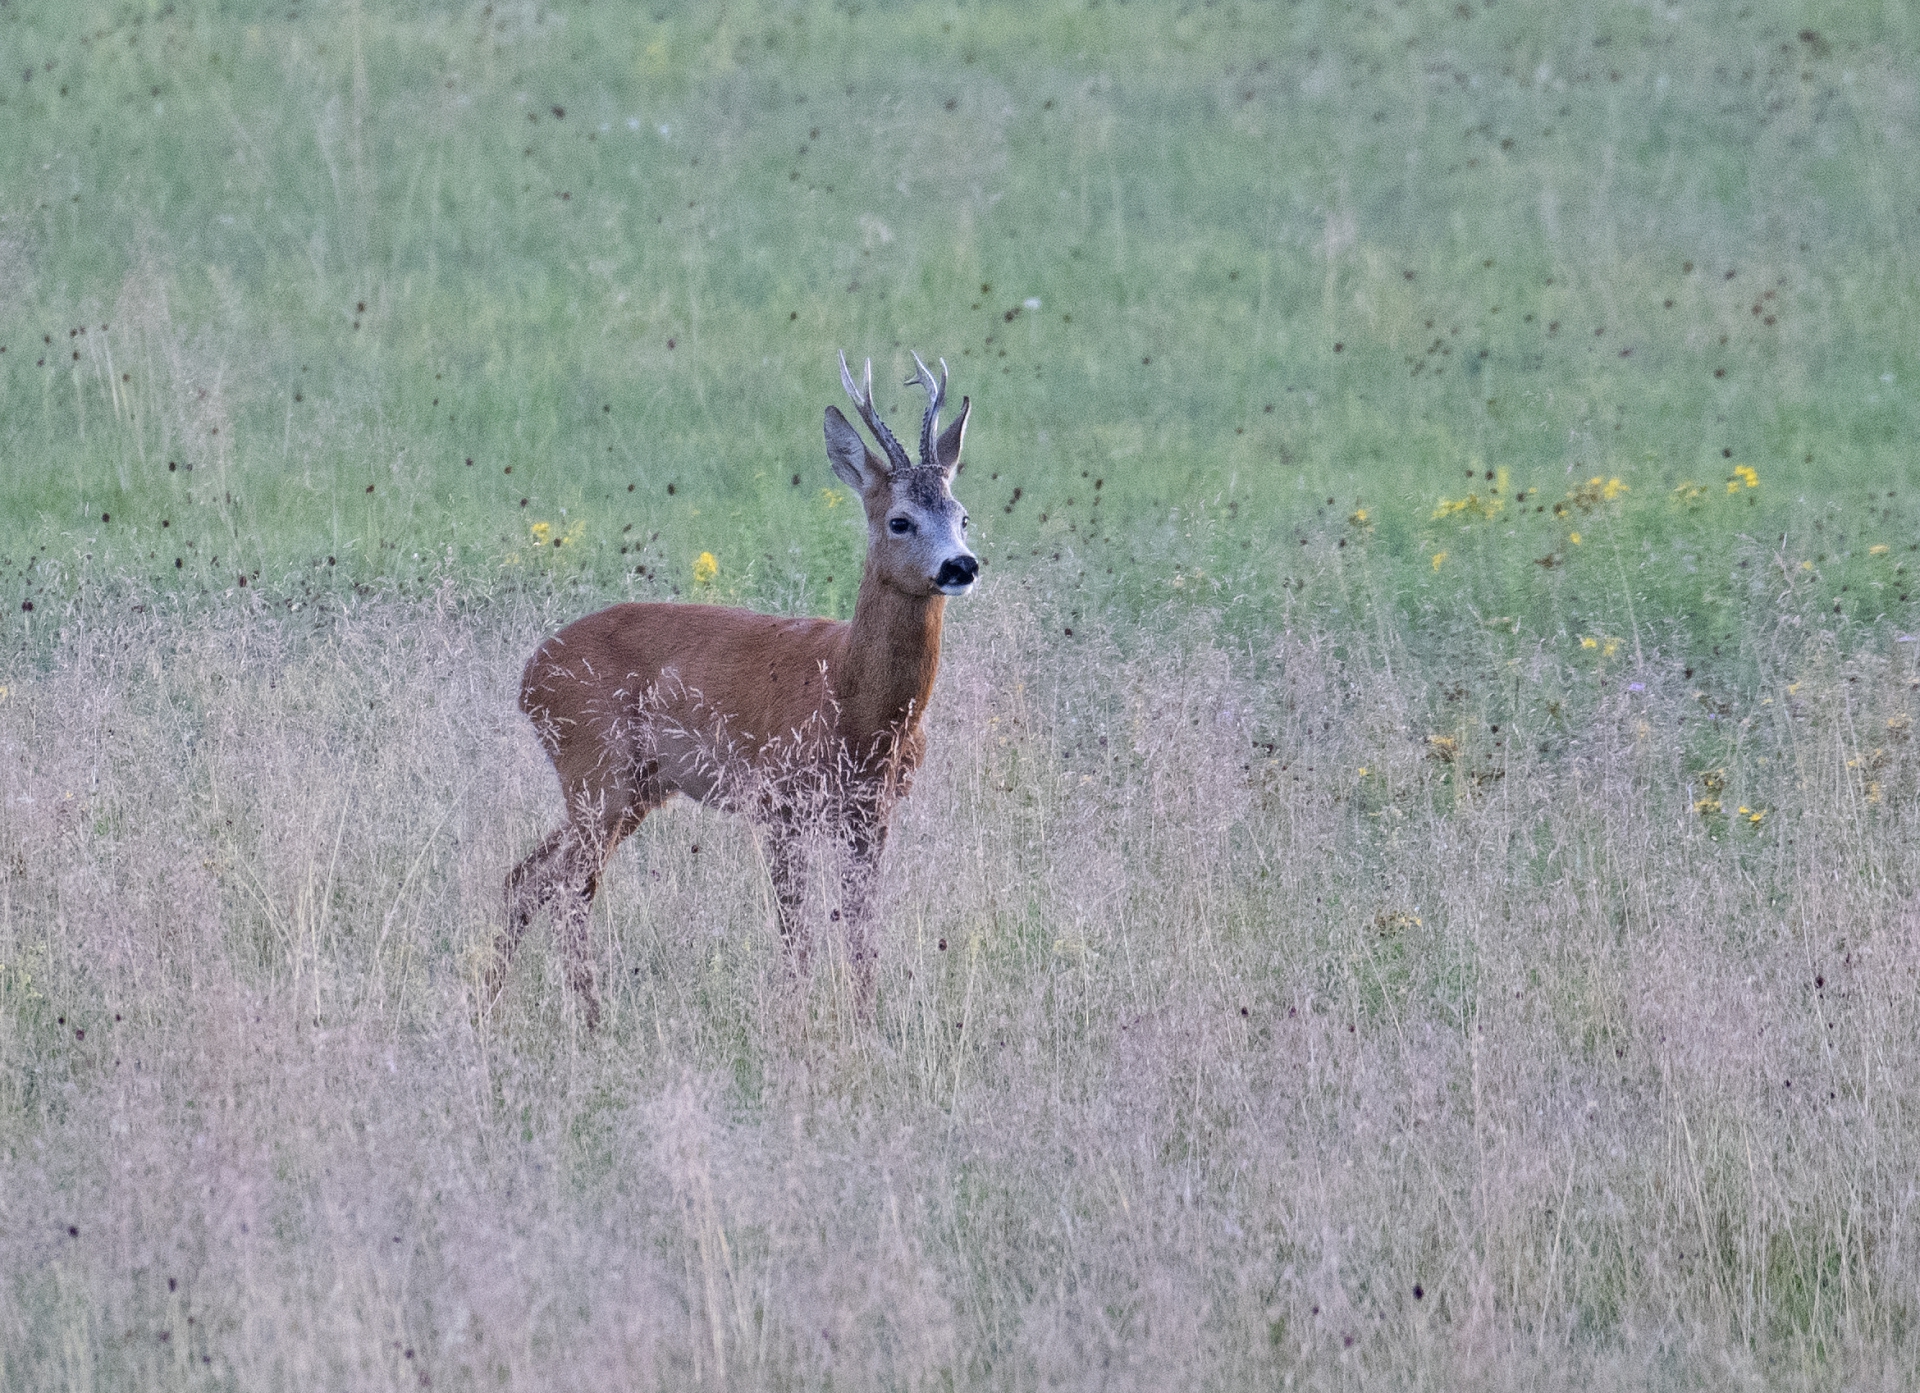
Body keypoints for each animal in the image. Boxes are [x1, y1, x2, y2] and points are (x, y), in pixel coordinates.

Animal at [495, 351, 975, 1028]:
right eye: (899, 520)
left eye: (964, 516)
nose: (962, 565)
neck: (854, 703)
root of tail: (529, 675)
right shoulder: (779, 802)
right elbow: (797, 934)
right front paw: (799, 1023)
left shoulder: (873, 811)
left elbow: (861, 931)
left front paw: (865, 1023)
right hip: (594, 768)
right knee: (567, 887)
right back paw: (590, 1018)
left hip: (633, 787)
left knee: (526, 879)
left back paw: (491, 1002)